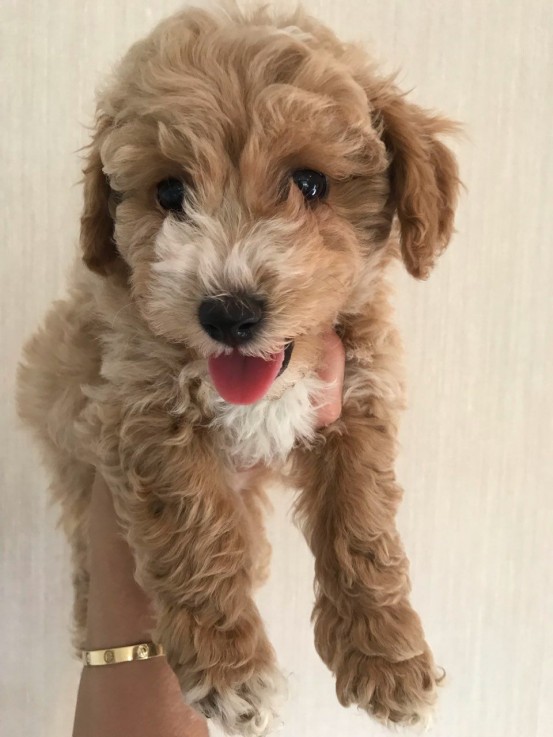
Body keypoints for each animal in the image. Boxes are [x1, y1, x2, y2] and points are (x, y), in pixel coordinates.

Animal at [17, 2, 460, 732]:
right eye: (170, 191)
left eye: (310, 182)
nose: (227, 313)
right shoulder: (136, 401)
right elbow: (196, 529)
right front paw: (232, 673)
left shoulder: (358, 394)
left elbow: (362, 522)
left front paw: (386, 657)